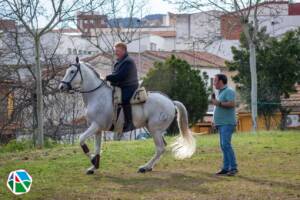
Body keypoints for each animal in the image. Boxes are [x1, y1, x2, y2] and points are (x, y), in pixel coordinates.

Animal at [58, 61, 196, 175]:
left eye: (72, 71)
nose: (61, 87)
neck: (97, 96)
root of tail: (171, 102)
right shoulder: (97, 129)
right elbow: (97, 148)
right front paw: (94, 166)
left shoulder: (95, 126)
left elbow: (81, 139)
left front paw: (93, 161)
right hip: (153, 129)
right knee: (162, 148)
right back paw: (149, 167)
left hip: (154, 130)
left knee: (160, 148)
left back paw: (145, 167)